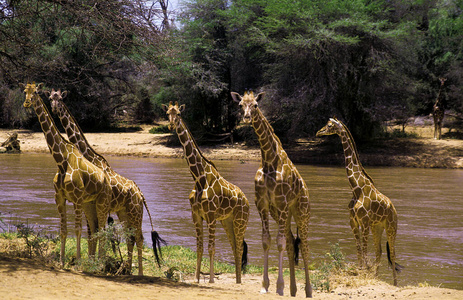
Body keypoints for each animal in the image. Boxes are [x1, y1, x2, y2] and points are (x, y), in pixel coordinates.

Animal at [20, 81, 113, 264]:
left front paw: (77, 262)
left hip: (102, 202)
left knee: (102, 230)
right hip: (90, 204)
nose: (27, 103)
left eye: (35, 93)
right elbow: (63, 230)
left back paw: (100, 263)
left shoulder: (76, 199)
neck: (61, 160)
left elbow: (77, 230)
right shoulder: (59, 197)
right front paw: (62, 261)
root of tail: (106, 179)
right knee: (95, 228)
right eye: (25, 91)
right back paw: (95, 261)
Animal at [47, 87, 166, 274]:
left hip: (134, 213)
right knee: (131, 237)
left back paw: (137, 272)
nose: (54, 108)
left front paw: (94, 262)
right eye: (51, 98)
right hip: (123, 213)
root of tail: (141, 194)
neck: (89, 156)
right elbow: (92, 233)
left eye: (60, 99)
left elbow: (96, 233)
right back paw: (127, 269)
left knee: (138, 237)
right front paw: (91, 261)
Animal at [163, 101, 250, 284]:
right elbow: (199, 247)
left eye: (179, 113)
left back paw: (239, 281)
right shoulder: (196, 214)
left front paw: (210, 279)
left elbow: (211, 248)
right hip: (227, 221)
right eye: (167, 113)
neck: (198, 177)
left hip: (241, 221)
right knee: (235, 248)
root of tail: (247, 201)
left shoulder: (210, 215)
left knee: (239, 249)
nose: (171, 125)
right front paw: (196, 279)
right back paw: (237, 280)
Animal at [231, 91, 312, 298]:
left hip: (301, 211)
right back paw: (294, 290)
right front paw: (265, 285)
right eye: (240, 105)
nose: (246, 117)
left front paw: (279, 287)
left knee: (304, 245)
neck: (269, 159)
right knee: (292, 242)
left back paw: (308, 291)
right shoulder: (263, 204)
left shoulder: (282, 203)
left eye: (256, 105)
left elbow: (279, 242)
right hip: (282, 213)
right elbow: (267, 241)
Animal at [316, 117, 402, 286]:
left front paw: (363, 271)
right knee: (379, 252)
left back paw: (395, 283)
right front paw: (361, 270)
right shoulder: (353, 221)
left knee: (393, 253)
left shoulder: (365, 221)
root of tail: (394, 210)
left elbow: (363, 248)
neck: (356, 188)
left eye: (329, 125)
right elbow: (358, 249)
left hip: (391, 227)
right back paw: (375, 277)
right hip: (378, 227)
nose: (318, 132)